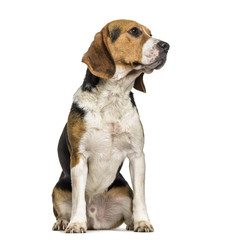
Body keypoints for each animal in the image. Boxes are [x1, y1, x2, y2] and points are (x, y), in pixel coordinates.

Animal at [52, 19, 169, 233]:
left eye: (150, 33)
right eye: (134, 31)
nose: (166, 46)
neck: (113, 96)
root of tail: (94, 221)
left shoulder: (137, 155)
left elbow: (140, 196)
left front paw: (142, 221)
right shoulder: (79, 156)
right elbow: (78, 198)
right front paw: (76, 223)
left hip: (123, 190)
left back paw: (131, 222)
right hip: (58, 188)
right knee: (65, 208)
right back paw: (64, 221)